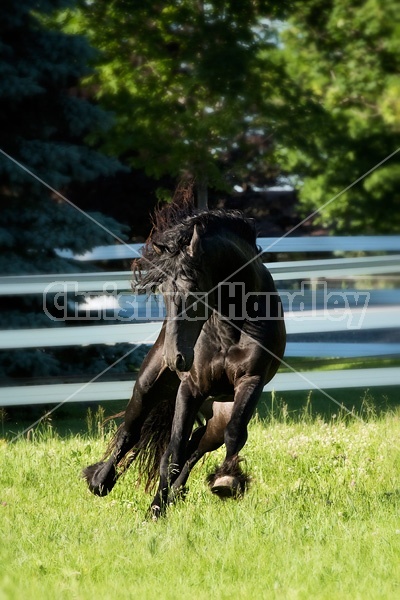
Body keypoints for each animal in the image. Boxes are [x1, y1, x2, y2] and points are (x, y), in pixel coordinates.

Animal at [83, 202, 284, 516]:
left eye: (196, 291)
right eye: (164, 292)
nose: (176, 359)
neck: (231, 325)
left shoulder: (251, 381)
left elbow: (235, 434)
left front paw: (227, 480)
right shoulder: (191, 388)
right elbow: (172, 452)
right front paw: (155, 511)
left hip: (216, 416)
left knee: (199, 444)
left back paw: (178, 492)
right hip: (149, 388)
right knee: (132, 431)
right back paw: (101, 481)